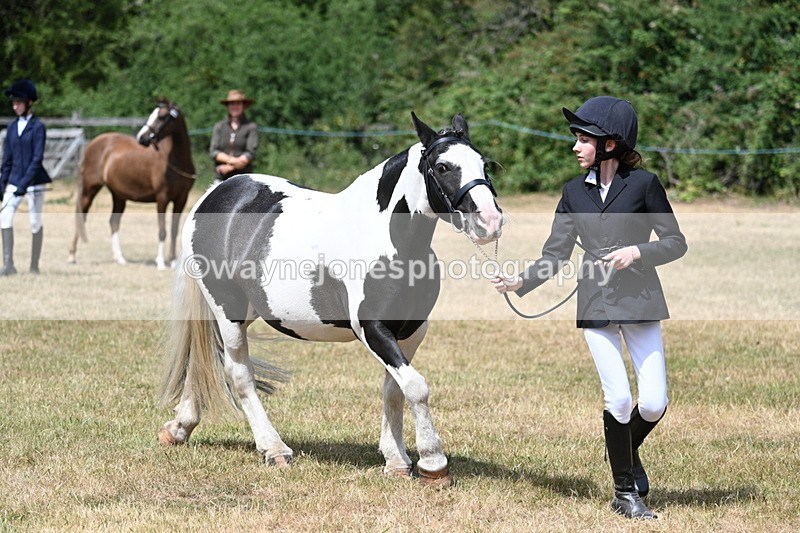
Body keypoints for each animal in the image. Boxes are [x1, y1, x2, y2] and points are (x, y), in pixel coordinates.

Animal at [68, 100, 196, 269]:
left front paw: (173, 261)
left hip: (118, 196)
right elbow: (162, 230)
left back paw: (120, 258)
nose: (142, 138)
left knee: (113, 222)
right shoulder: (162, 198)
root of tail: (93, 144)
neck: (174, 162)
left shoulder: (181, 199)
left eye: (162, 117)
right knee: (81, 218)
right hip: (89, 189)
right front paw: (161, 262)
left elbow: (174, 230)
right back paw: (71, 256)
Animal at [157, 112, 504, 486]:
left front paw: (396, 461)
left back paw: (179, 428)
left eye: (484, 164)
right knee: (238, 373)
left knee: (200, 360)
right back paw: (274, 449)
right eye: (442, 167)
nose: (491, 221)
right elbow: (416, 386)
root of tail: (215, 193)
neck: (385, 238)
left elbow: (394, 389)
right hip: (228, 311)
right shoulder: (373, 329)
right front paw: (433, 463)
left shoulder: (411, 330)